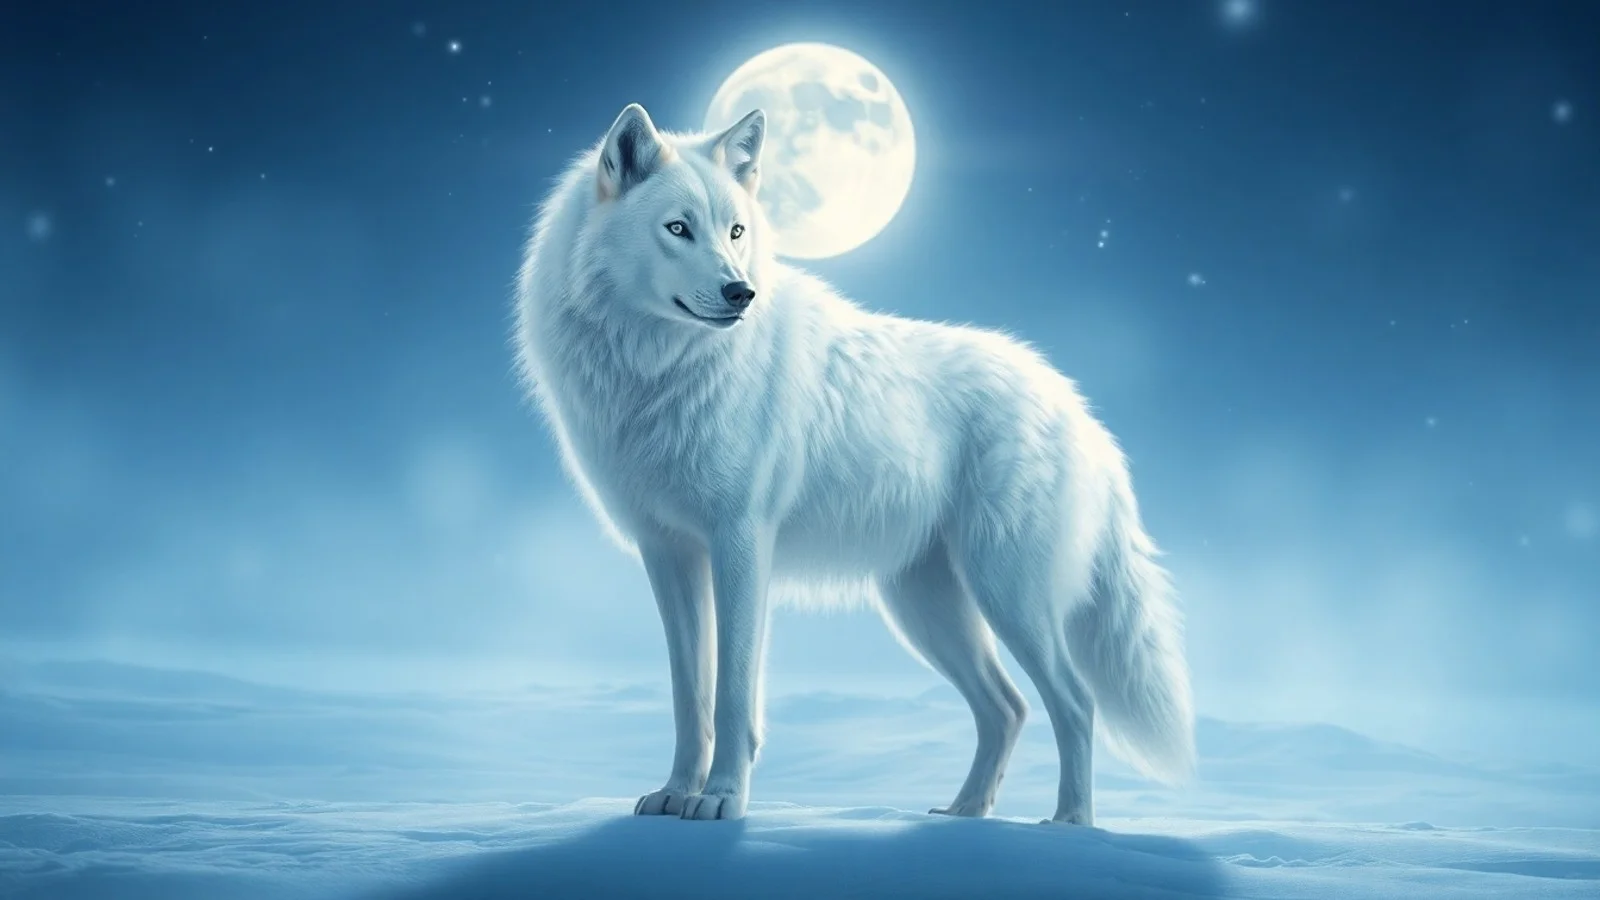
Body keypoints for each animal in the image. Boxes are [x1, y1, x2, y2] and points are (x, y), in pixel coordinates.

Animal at [513, 103, 1195, 824]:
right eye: (678, 228)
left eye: (735, 231)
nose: (740, 291)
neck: (659, 372)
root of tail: (1080, 412)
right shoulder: (667, 552)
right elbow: (688, 695)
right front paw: (676, 792)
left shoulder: (741, 544)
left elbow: (733, 694)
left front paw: (722, 799)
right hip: (926, 608)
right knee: (1007, 707)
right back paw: (964, 812)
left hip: (1007, 595)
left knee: (1074, 699)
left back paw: (1070, 823)